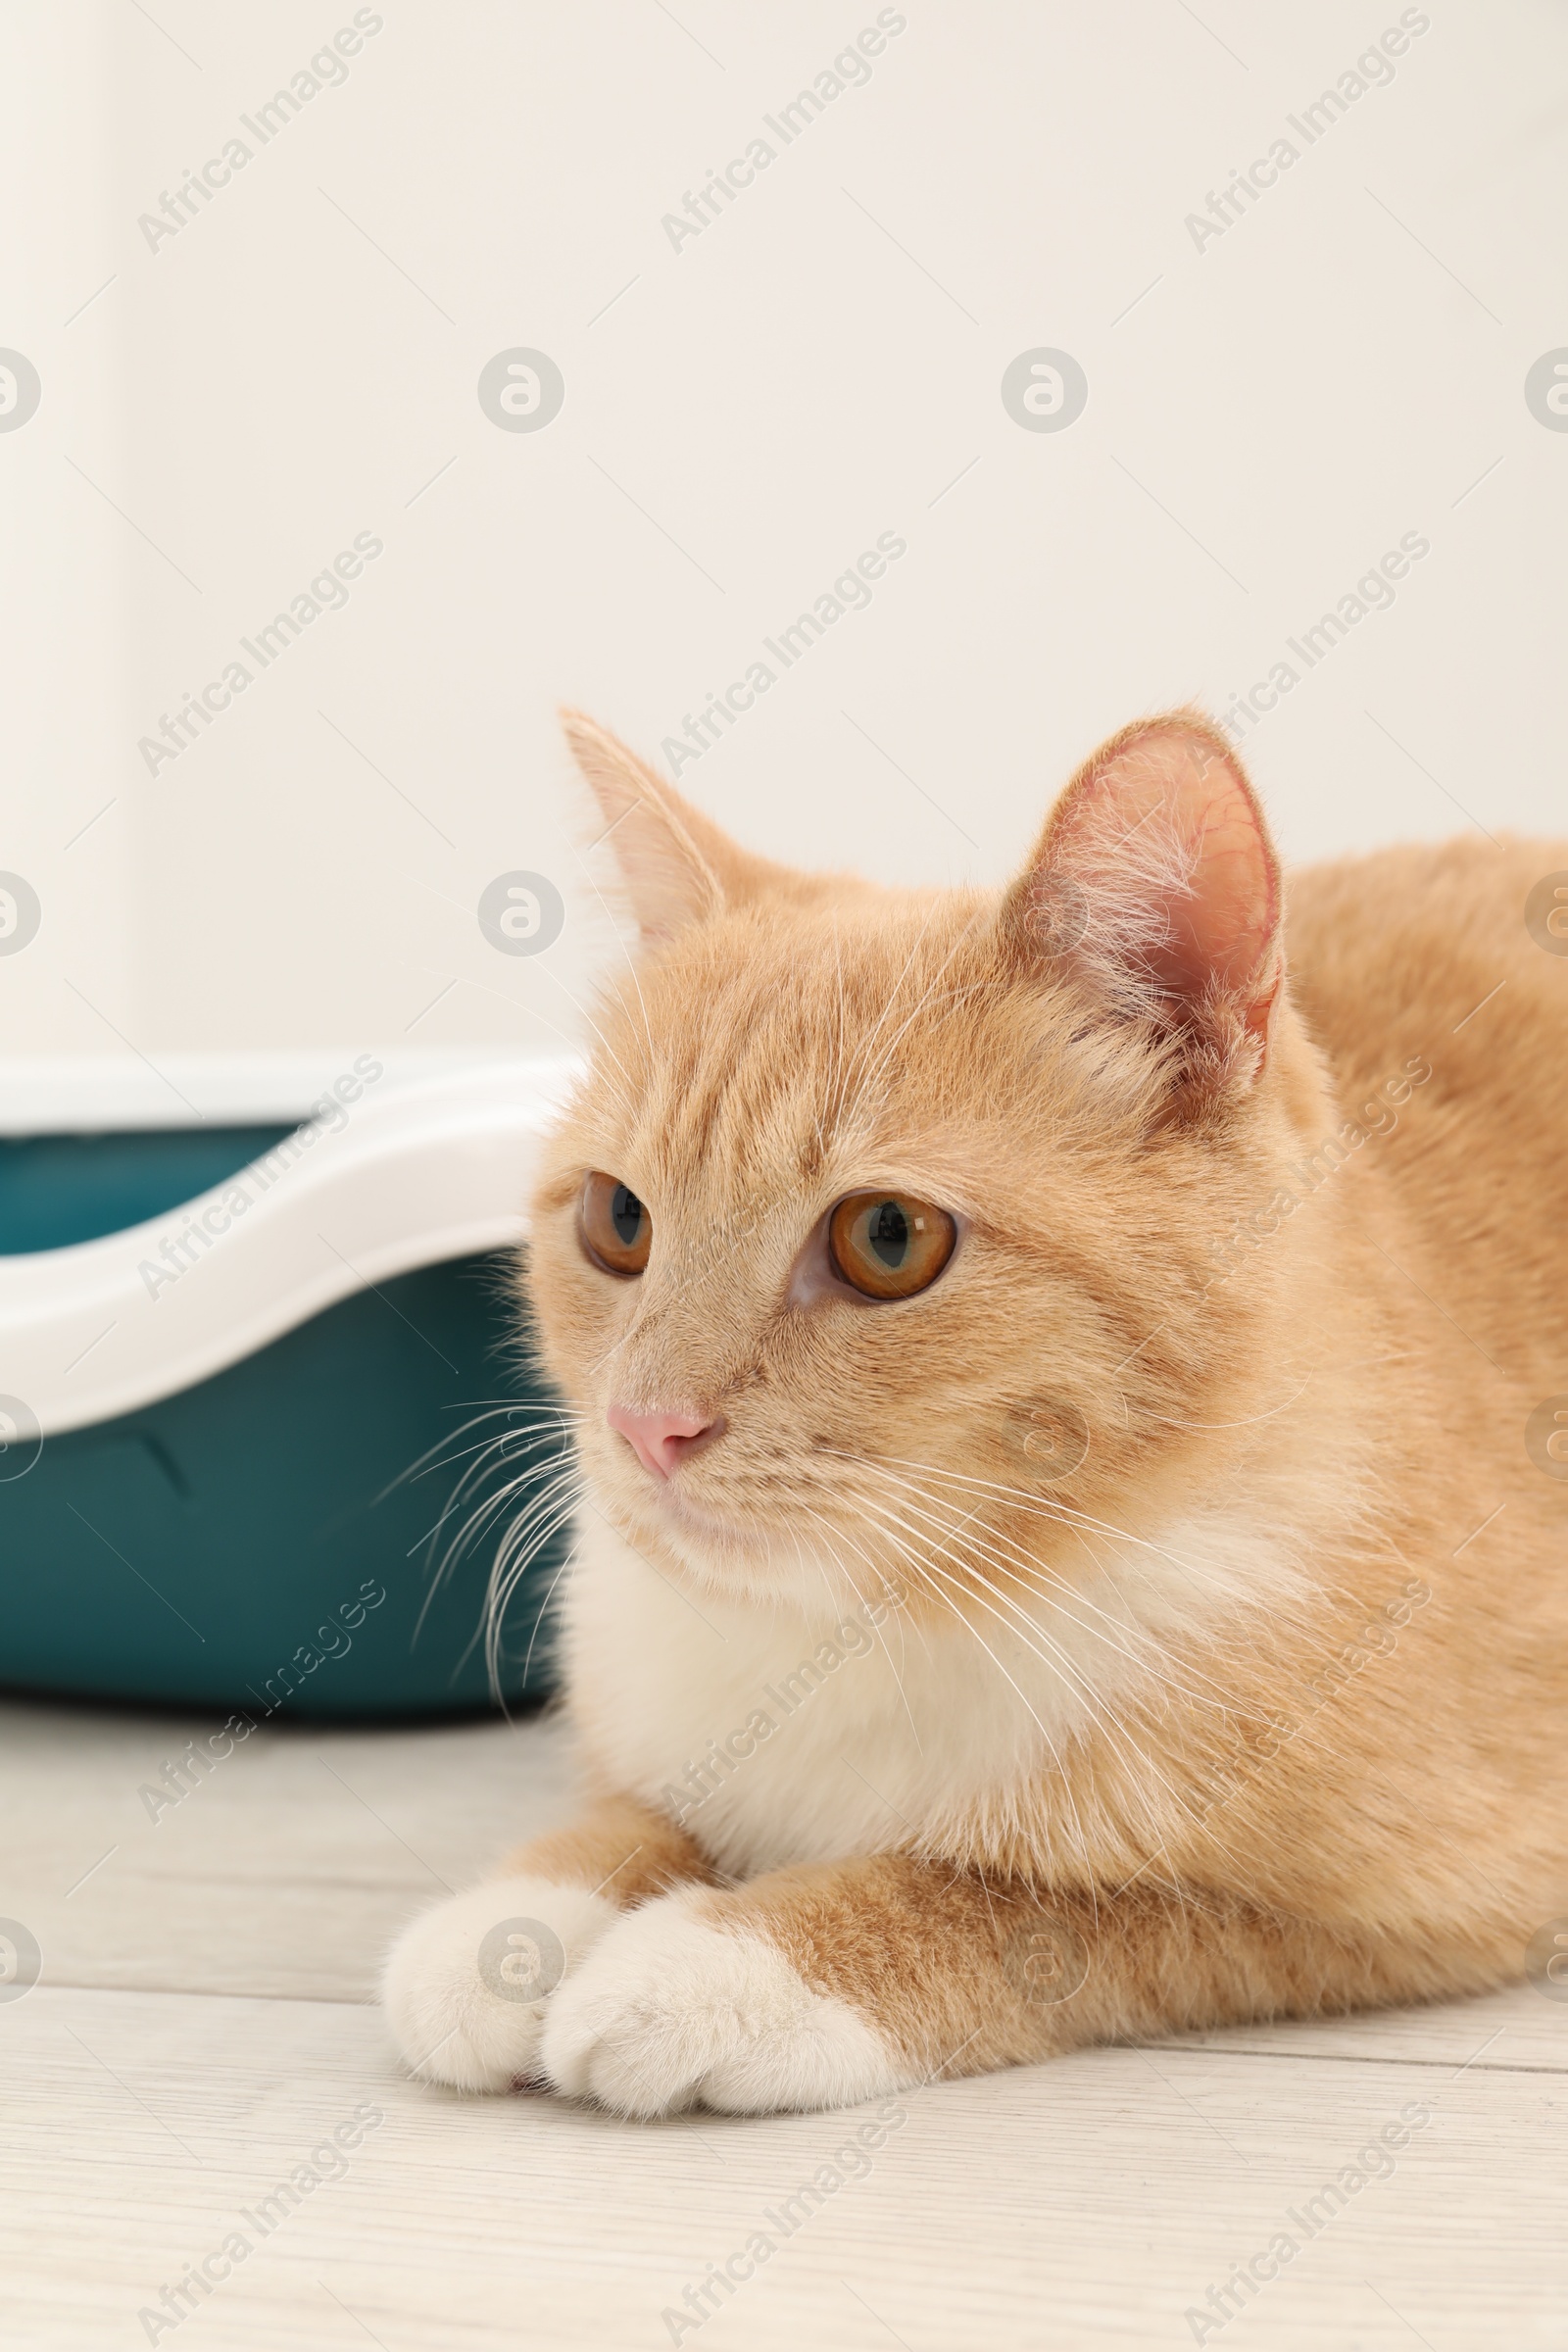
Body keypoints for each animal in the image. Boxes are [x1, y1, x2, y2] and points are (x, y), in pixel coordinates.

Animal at [383, 701, 1568, 2117]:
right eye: (618, 1221)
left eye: (887, 1238)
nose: (647, 1425)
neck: (865, 1630)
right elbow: (636, 1810)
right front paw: (519, 1920)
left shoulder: (1424, 1905)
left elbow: (1034, 1906)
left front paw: (722, 1961)